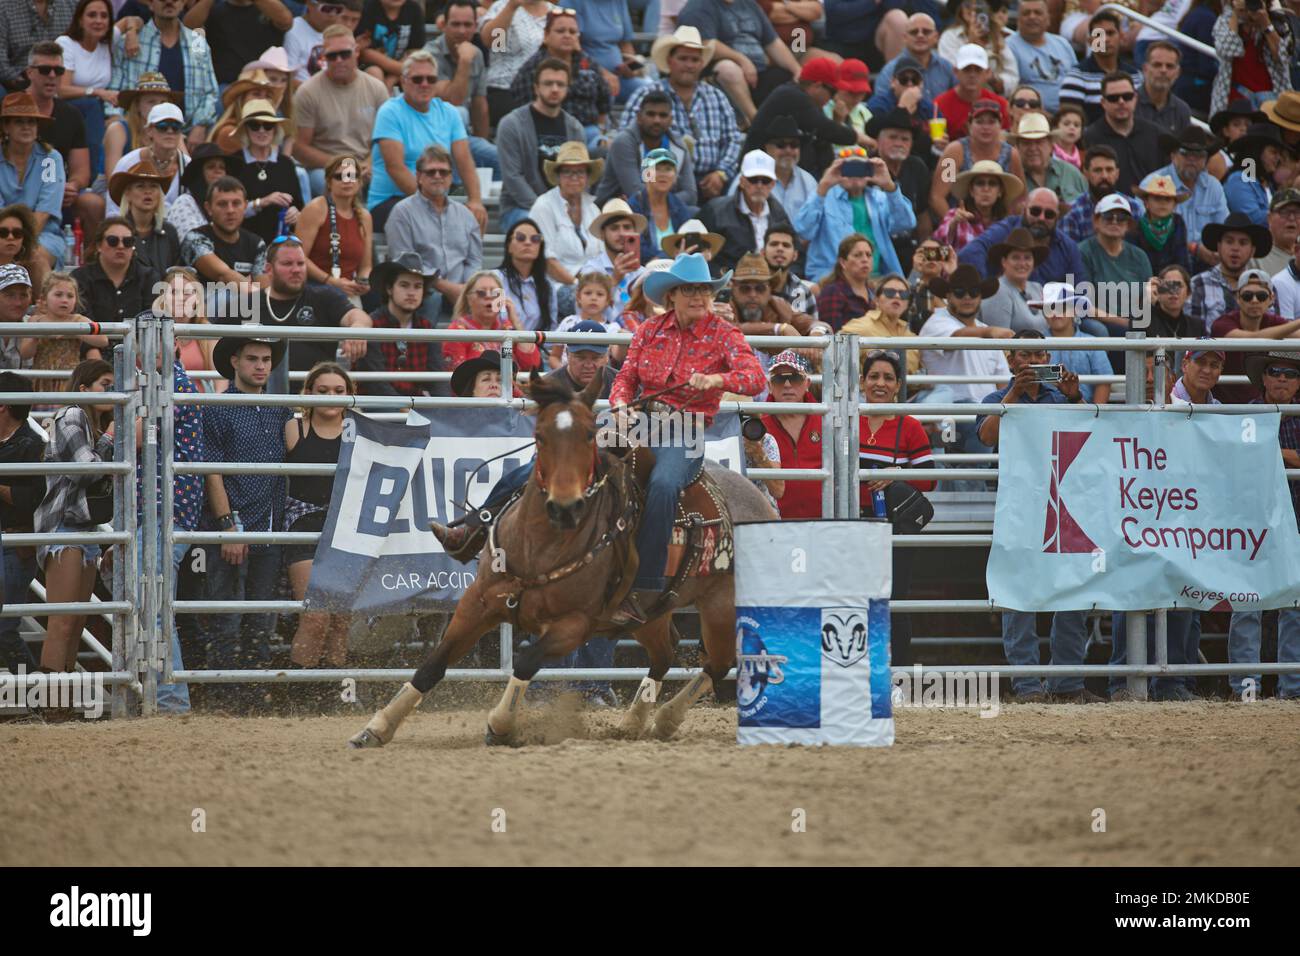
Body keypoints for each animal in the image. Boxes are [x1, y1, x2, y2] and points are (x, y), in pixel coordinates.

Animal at [348, 366, 769, 749]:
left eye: (588, 435)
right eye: (539, 436)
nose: (565, 508)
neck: (539, 545)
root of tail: (759, 497)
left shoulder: (574, 625)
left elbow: (526, 661)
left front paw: (500, 726)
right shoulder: (477, 602)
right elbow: (433, 665)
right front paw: (376, 728)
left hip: (719, 605)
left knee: (718, 662)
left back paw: (666, 719)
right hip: (654, 611)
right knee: (665, 652)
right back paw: (632, 722)